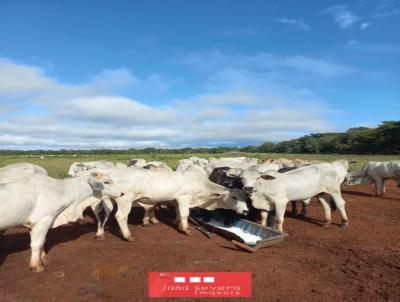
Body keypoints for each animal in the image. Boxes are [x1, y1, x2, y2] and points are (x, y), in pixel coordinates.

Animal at [89, 166, 248, 242]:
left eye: (246, 197)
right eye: (234, 197)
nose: (246, 211)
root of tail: (112, 173)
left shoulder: (177, 199)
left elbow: (178, 212)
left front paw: (178, 224)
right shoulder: (185, 197)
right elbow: (184, 213)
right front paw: (186, 229)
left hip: (108, 200)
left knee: (103, 215)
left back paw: (100, 234)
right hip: (125, 200)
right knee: (120, 216)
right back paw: (127, 236)